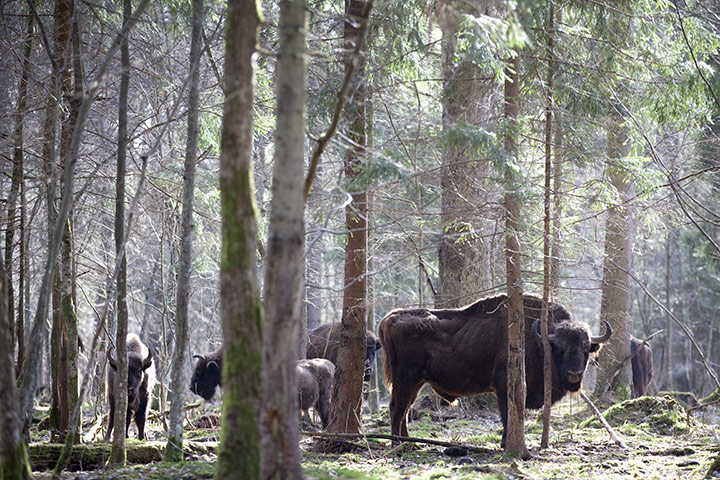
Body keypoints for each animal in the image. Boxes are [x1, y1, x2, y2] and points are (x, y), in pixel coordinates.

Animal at [380, 292, 612, 446]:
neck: (539, 340)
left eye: (586, 348)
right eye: (560, 348)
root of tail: (390, 318)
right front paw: (506, 444)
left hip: (416, 382)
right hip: (406, 379)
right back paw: (397, 445)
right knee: (397, 408)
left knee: (405, 408)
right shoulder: (504, 386)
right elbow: (508, 414)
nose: (574, 374)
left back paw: (408, 442)